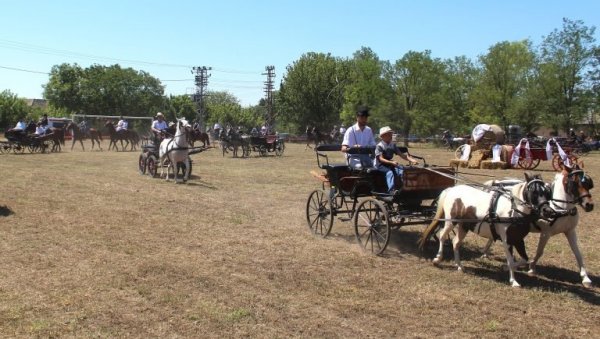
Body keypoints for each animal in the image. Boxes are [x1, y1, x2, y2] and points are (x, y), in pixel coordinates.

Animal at [418, 174, 552, 288]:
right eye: (533, 192)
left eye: (547, 192)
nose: (547, 211)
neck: (514, 211)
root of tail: (451, 190)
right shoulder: (506, 240)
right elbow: (511, 261)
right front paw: (513, 281)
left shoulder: (518, 240)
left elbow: (524, 259)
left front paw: (505, 268)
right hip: (451, 221)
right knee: (442, 236)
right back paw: (438, 259)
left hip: (463, 226)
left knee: (456, 243)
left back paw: (459, 265)